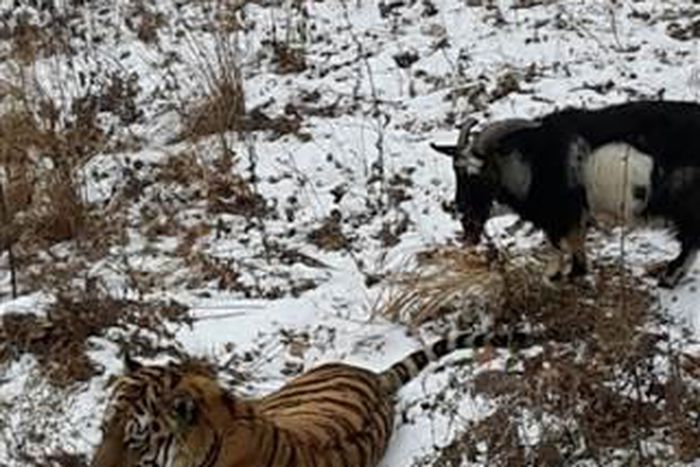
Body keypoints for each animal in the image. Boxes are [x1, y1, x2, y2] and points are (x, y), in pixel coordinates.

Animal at [432, 100, 700, 288]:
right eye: (457, 173)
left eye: (478, 175)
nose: (461, 210)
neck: (530, 162)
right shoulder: (571, 214)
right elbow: (567, 243)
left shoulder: (563, 212)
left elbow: (561, 244)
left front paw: (563, 274)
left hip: (685, 205)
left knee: (691, 241)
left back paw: (668, 278)